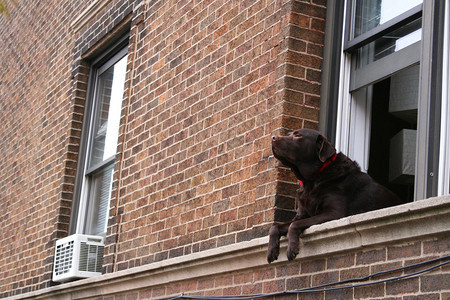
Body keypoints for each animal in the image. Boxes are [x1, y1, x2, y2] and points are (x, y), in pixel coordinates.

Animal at [268, 129, 400, 262]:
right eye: (288, 134)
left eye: (298, 135)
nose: (272, 137)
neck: (312, 181)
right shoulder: (301, 215)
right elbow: (275, 226)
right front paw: (271, 251)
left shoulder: (334, 214)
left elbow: (293, 225)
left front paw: (291, 249)